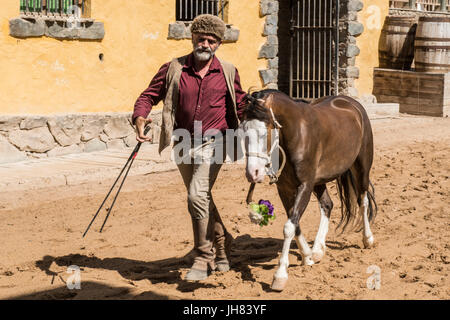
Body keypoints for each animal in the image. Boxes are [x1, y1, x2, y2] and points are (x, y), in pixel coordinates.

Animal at [241, 89, 378, 292]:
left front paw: (280, 276)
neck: (297, 134)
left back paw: (367, 239)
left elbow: (289, 226)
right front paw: (308, 256)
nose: (253, 173)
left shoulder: (305, 185)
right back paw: (318, 249)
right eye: (242, 132)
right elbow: (294, 222)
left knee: (363, 201)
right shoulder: (285, 188)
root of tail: (351, 103)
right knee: (328, 205)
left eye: (264, 132)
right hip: (319, 181)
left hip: (361, 167)